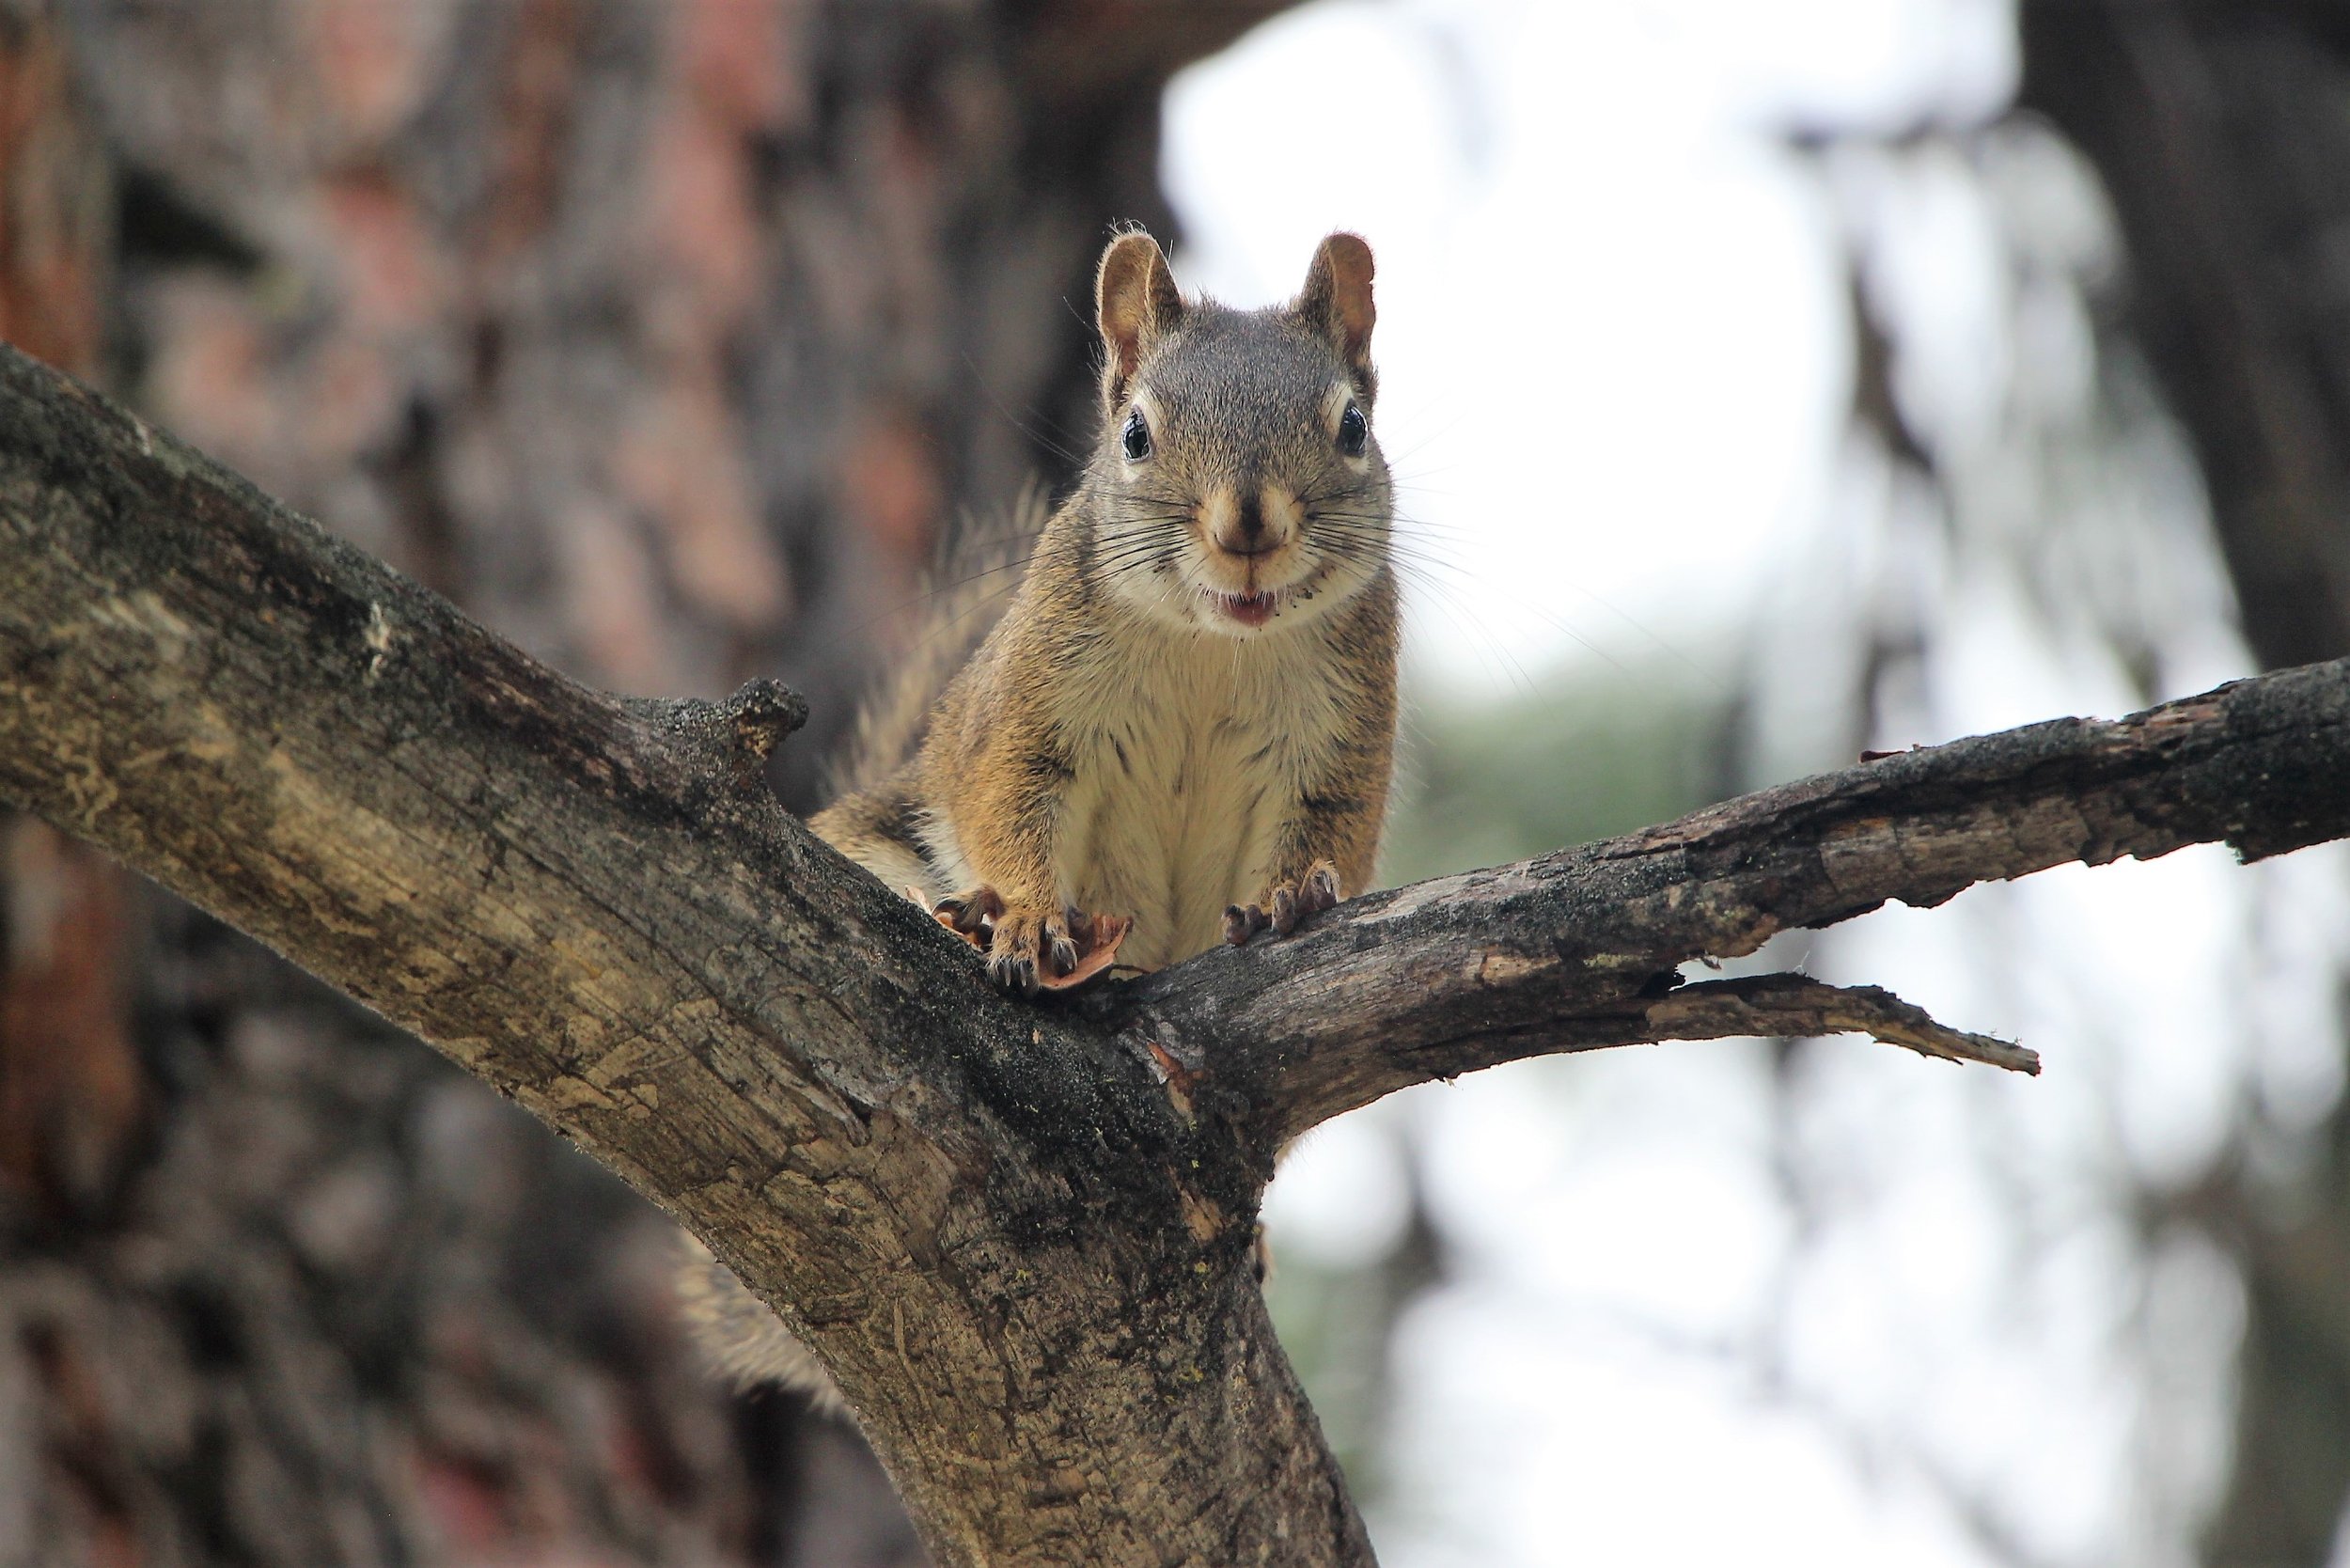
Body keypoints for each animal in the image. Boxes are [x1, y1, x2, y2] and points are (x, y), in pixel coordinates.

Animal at [677, 230, 1391, 1382]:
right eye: (1135, 432)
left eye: (1354, 427)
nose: (1247, 526)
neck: (1217, 643)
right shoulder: (1029, 708)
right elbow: (1008, 796)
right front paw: (1021, 915)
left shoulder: (1346, 727)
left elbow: (1329, 828)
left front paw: (1299, 893)